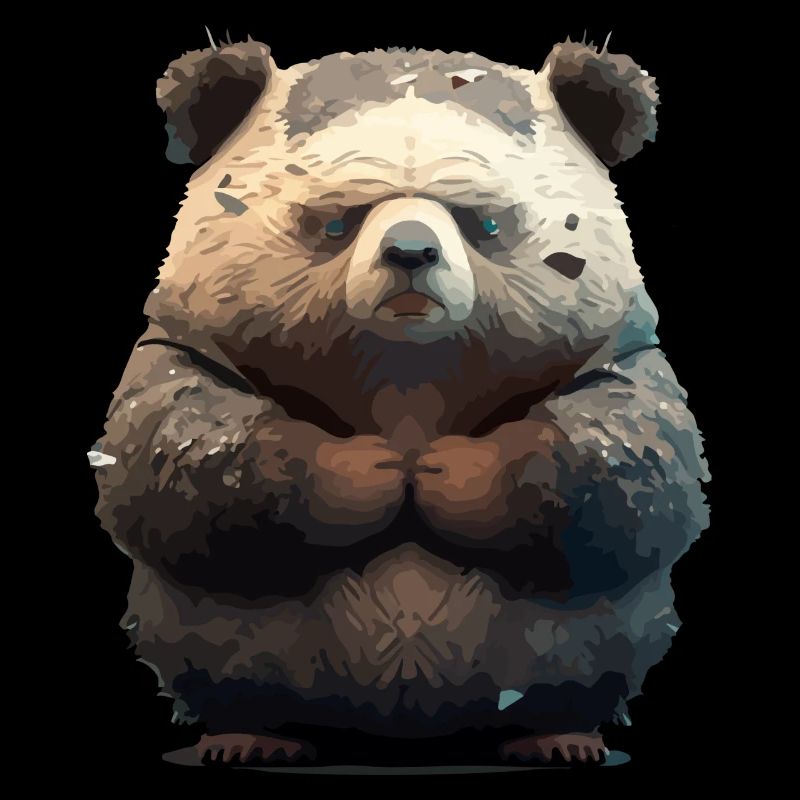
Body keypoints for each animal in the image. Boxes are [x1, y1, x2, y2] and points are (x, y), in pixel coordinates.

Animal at [90, 35, 710, 767]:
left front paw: (453, 472)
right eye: (335, 222)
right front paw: (368, 471)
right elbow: (166, 445)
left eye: (484, 222)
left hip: (588, 640)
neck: (409, 370)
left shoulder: (618, 343)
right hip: (212, 635)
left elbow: (638, 455)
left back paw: (562, 734)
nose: (410, 253)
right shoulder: (186, 336)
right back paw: (248, 734)